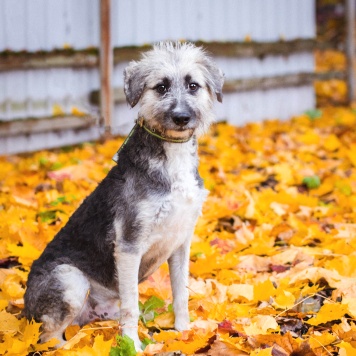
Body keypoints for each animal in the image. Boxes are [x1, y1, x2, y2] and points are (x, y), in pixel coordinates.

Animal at [23, 42, 222, 350]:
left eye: (193, 85)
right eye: (161, 87)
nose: (181, 117)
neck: (172, 157)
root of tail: (24, 309)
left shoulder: (181, 243)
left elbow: (181, 293)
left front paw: (184, 332)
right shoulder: (129, 244)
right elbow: (131, 303)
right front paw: (132, 345)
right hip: (70, 280)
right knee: (48, 337)